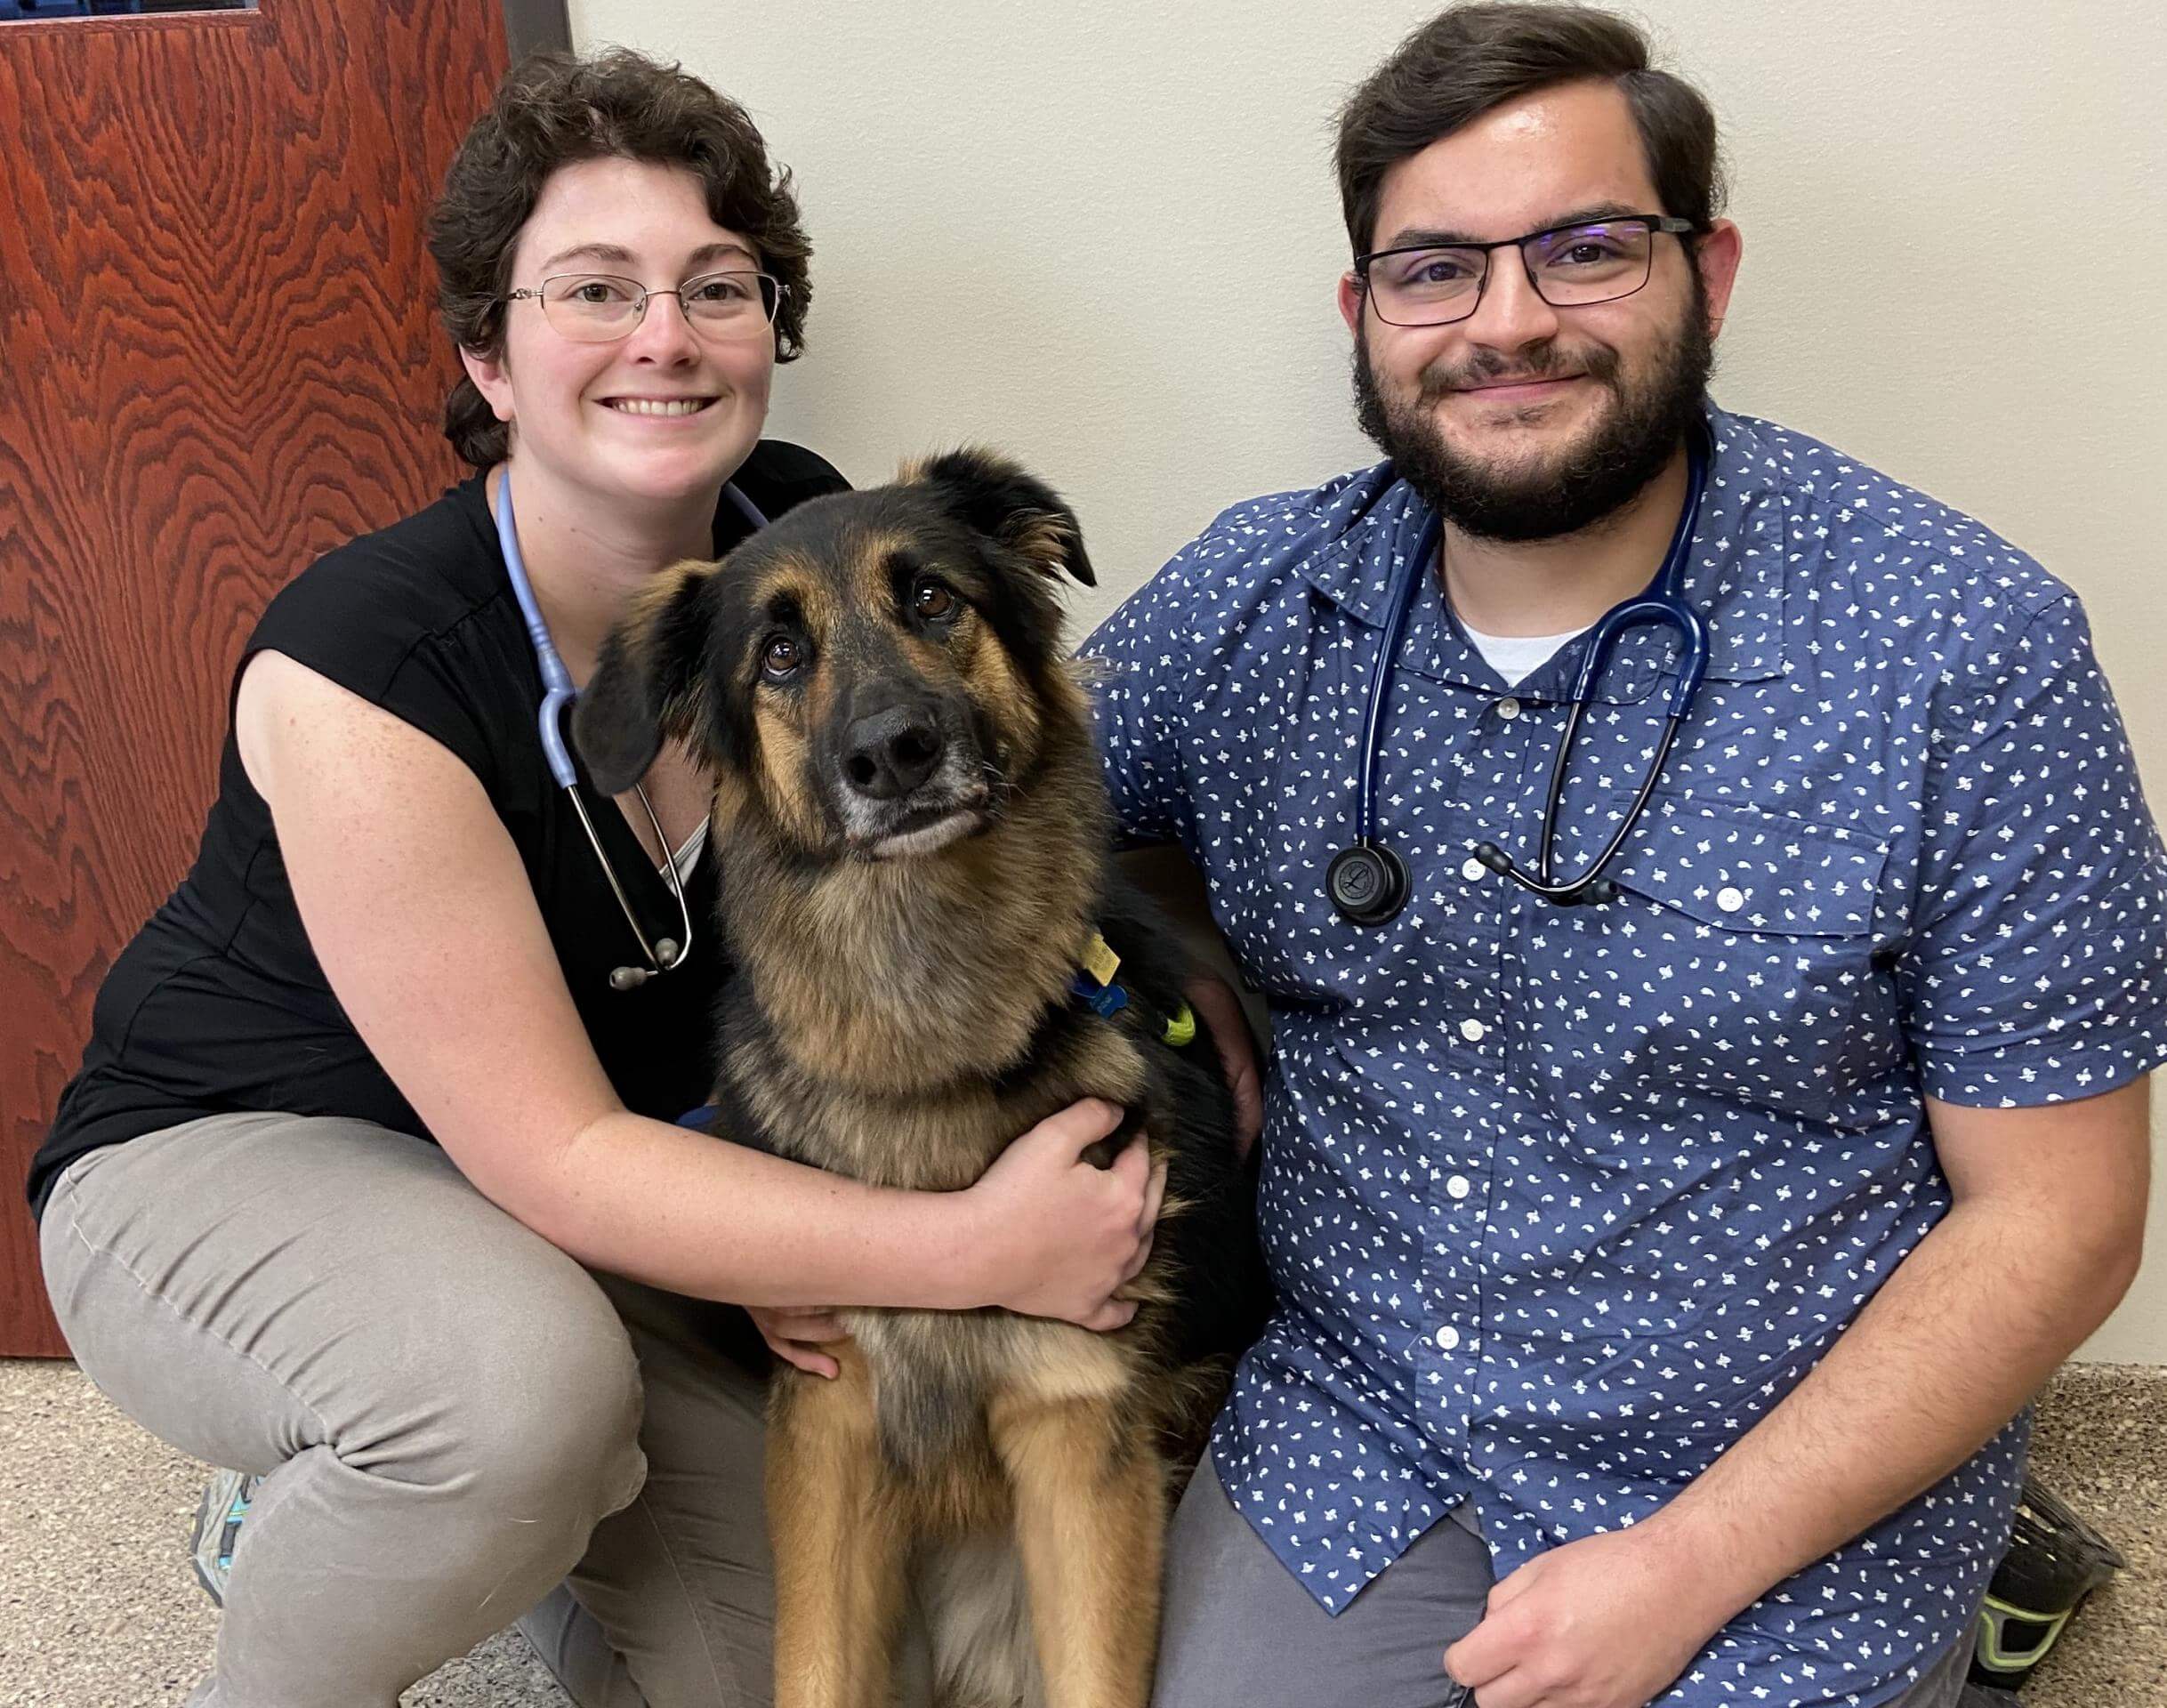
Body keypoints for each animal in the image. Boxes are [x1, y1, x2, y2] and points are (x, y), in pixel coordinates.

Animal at [580, 446, 1265, 1699]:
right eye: (780, 654)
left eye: (934, 599)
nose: (893, 753)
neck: (933, 1016)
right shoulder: (832, 1433)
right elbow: (812, 1670)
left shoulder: (1075, 1433)